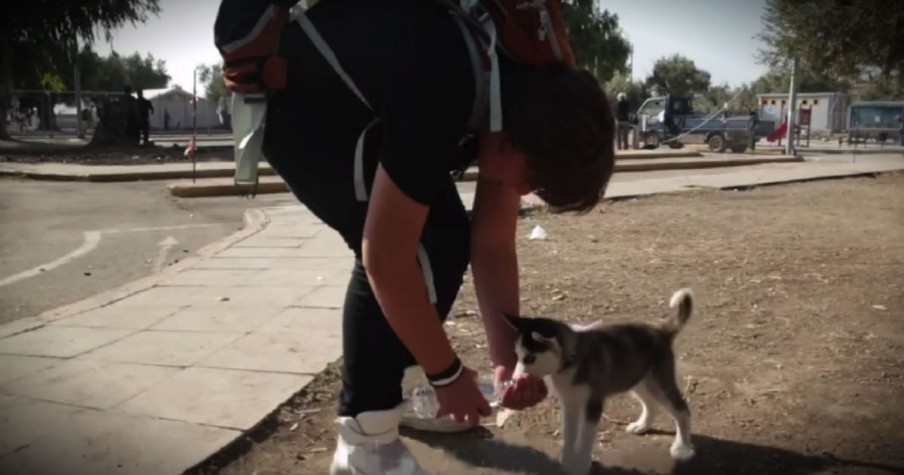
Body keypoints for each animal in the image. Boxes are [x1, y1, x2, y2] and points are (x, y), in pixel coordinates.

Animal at [504, 288, 696, 474]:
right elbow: (569, 432)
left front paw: (581, 463)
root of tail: (660, 331)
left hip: (658, 383)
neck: (571, 362)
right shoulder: (569, 402)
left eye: (530, 358)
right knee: (651, 404)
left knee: (682, 410)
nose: (514, 380)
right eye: (517, 355)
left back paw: (681, 448)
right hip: (638, 379)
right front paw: (568, 459)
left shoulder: (593, 402)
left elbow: (585, 436)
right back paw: (642, 425)